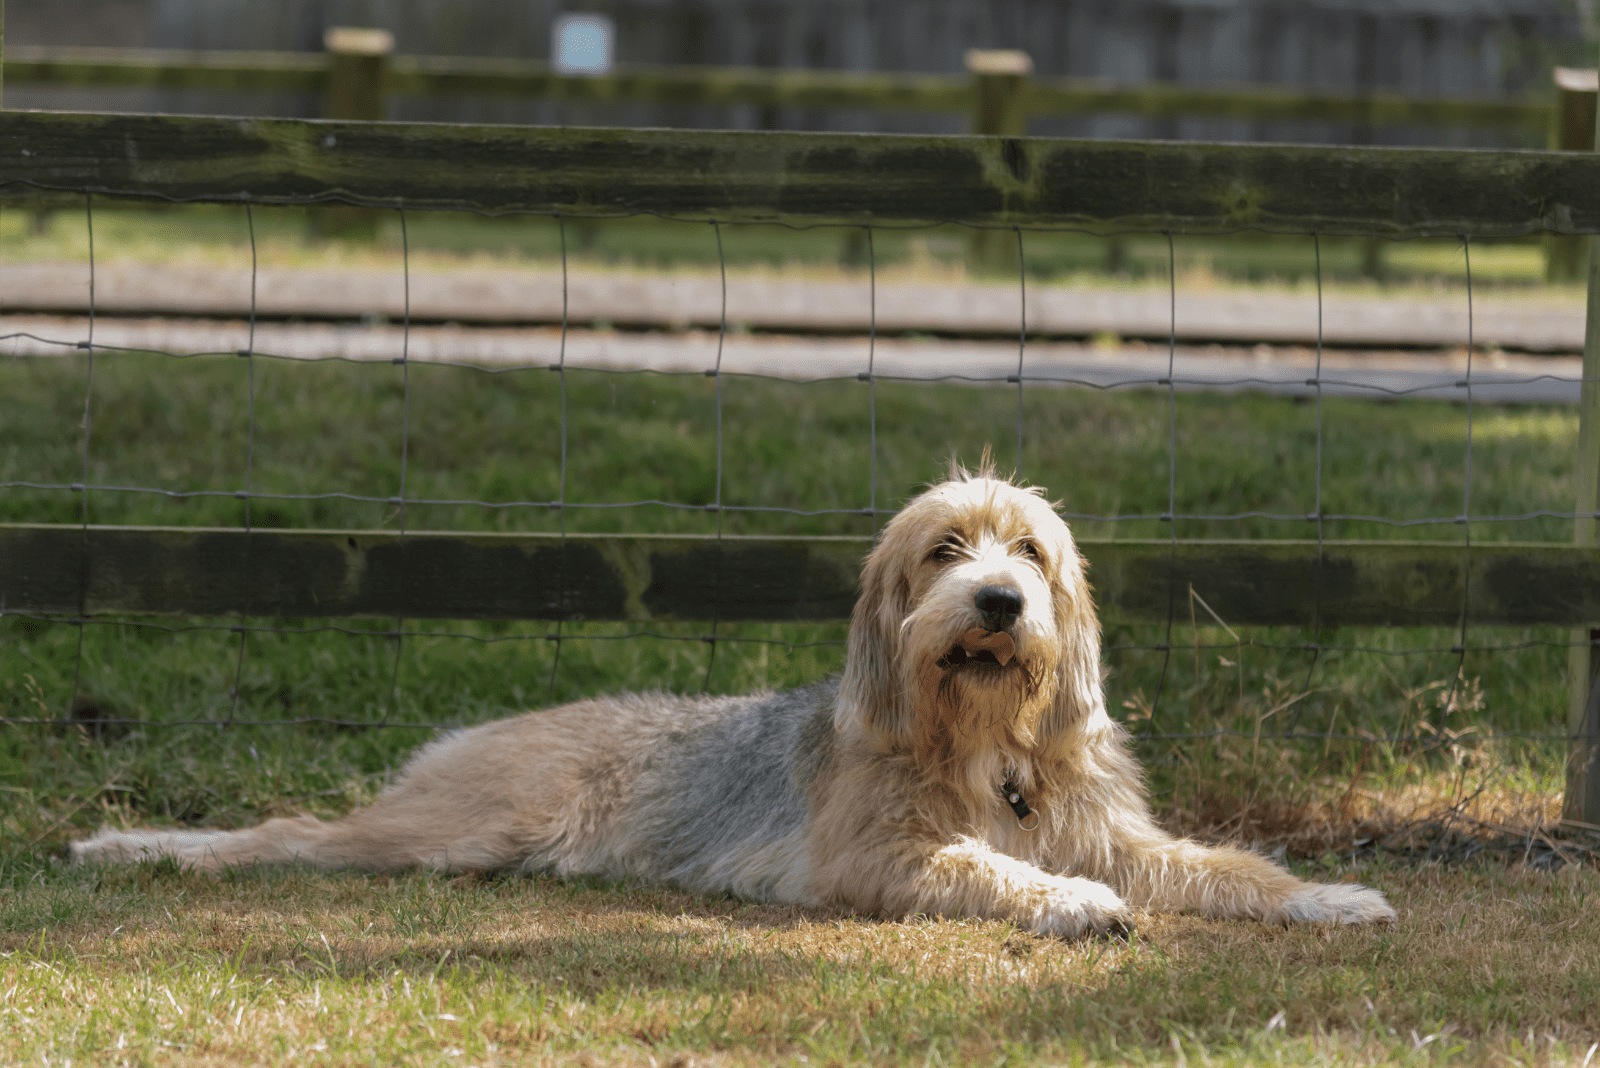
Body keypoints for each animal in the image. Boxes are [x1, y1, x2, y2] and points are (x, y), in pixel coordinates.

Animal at [68, 466, 1395, 933]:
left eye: (1029, 552)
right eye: (945, 549)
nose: (998, 601)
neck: (985, 748)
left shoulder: (1118, 833)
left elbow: (1221, 864)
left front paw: (1322, 894)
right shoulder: (882, 857)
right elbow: (990, 868)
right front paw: (1068, 903)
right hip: (446, 829)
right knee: (289, 833)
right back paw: (134, 848)